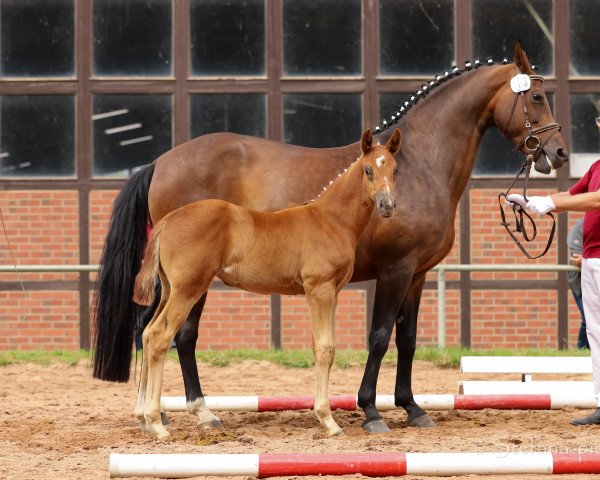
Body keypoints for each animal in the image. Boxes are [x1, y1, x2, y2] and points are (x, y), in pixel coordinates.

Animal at [134, 127, 400, 438]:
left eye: (395, 169)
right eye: (368, 170)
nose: (387, 206)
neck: (331, 220)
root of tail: (167, 221)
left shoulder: (332, 293)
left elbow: (326, 347)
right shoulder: (318, 289)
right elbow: (324, 349)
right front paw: (328, 421)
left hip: (168, 289)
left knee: (148, 333)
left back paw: (142, 418)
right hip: (188, 289)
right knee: (161, 337)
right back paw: (156, 422)